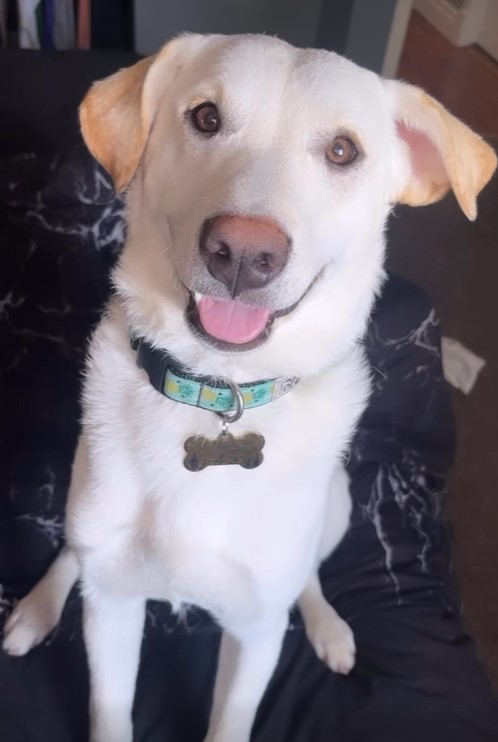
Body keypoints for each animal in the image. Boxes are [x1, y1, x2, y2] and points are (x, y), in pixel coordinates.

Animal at [1, 33, 496, 742]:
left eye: (342, 151)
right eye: (206, 118)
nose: (241, 252)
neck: (219, 393)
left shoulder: (257, 635)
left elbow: (233, 714)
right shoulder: (113, 609)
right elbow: (110, 708)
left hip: (340, 504)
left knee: (309, 573)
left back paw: (327, 625)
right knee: (74, 551)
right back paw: (40, 604)